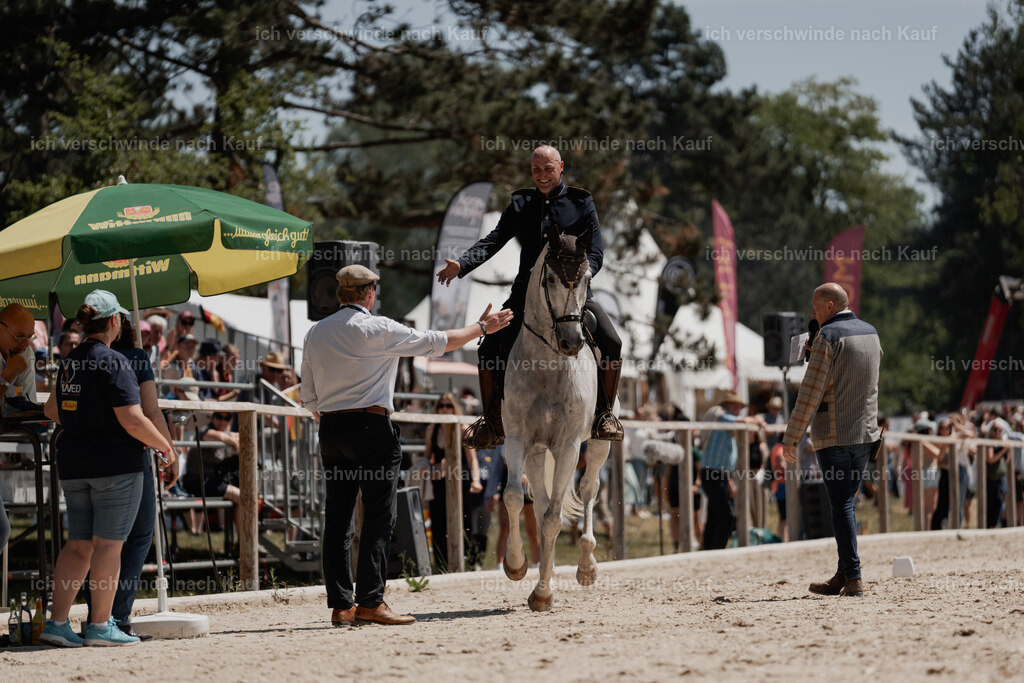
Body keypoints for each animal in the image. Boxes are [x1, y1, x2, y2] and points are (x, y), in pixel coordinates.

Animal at [501, 228, 617, 611]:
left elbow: (554, 518)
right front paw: (517, 565)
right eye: (550, 278)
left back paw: (587, 566)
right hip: (538, 452)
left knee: (589, 489)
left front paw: (543, 593)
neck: (548, 364)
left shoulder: (567, 446)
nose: (572, 342)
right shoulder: (518, 439)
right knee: (538, 502)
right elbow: (514, 498)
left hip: (596, 445)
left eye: (587, 279)